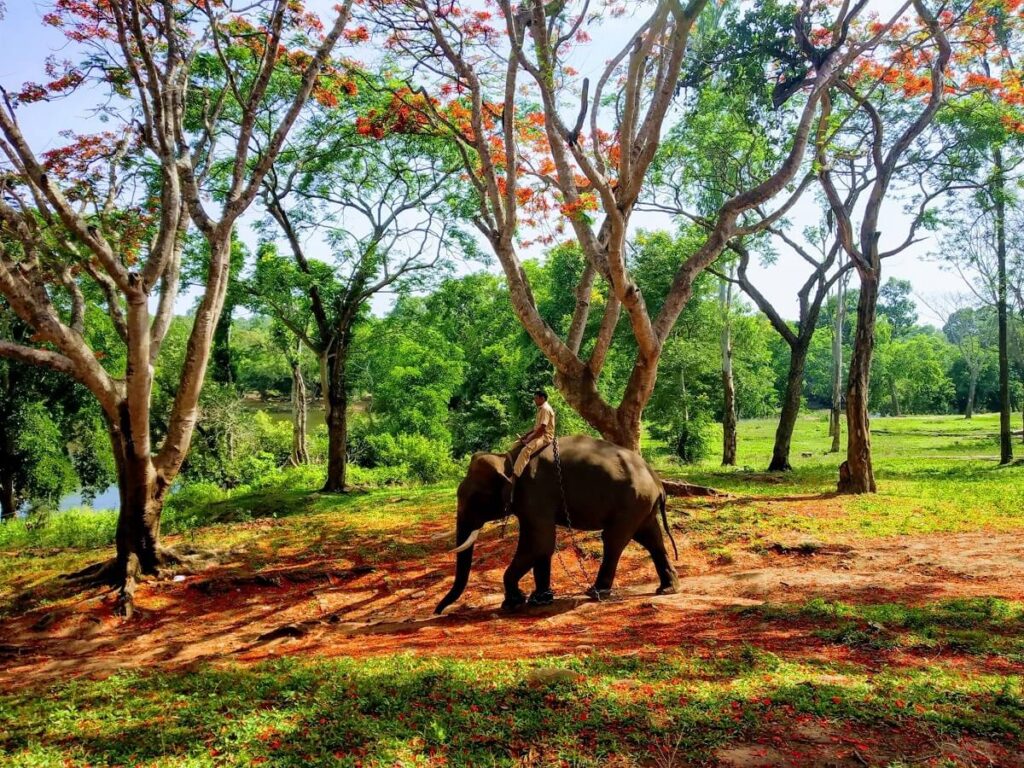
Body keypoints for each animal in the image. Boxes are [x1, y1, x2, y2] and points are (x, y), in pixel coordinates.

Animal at [434, 435, 680, 615]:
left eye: (474, 498)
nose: (438, 611)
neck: (508, 458)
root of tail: (657, 481)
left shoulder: (535, 492)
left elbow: (538, 543)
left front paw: (514, 602)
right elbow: (541, 546)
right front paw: (540, 599)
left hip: (631, 504)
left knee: (614, 540)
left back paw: (595, 592)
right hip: (641, 506)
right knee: (652, 538)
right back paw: (667, 588)